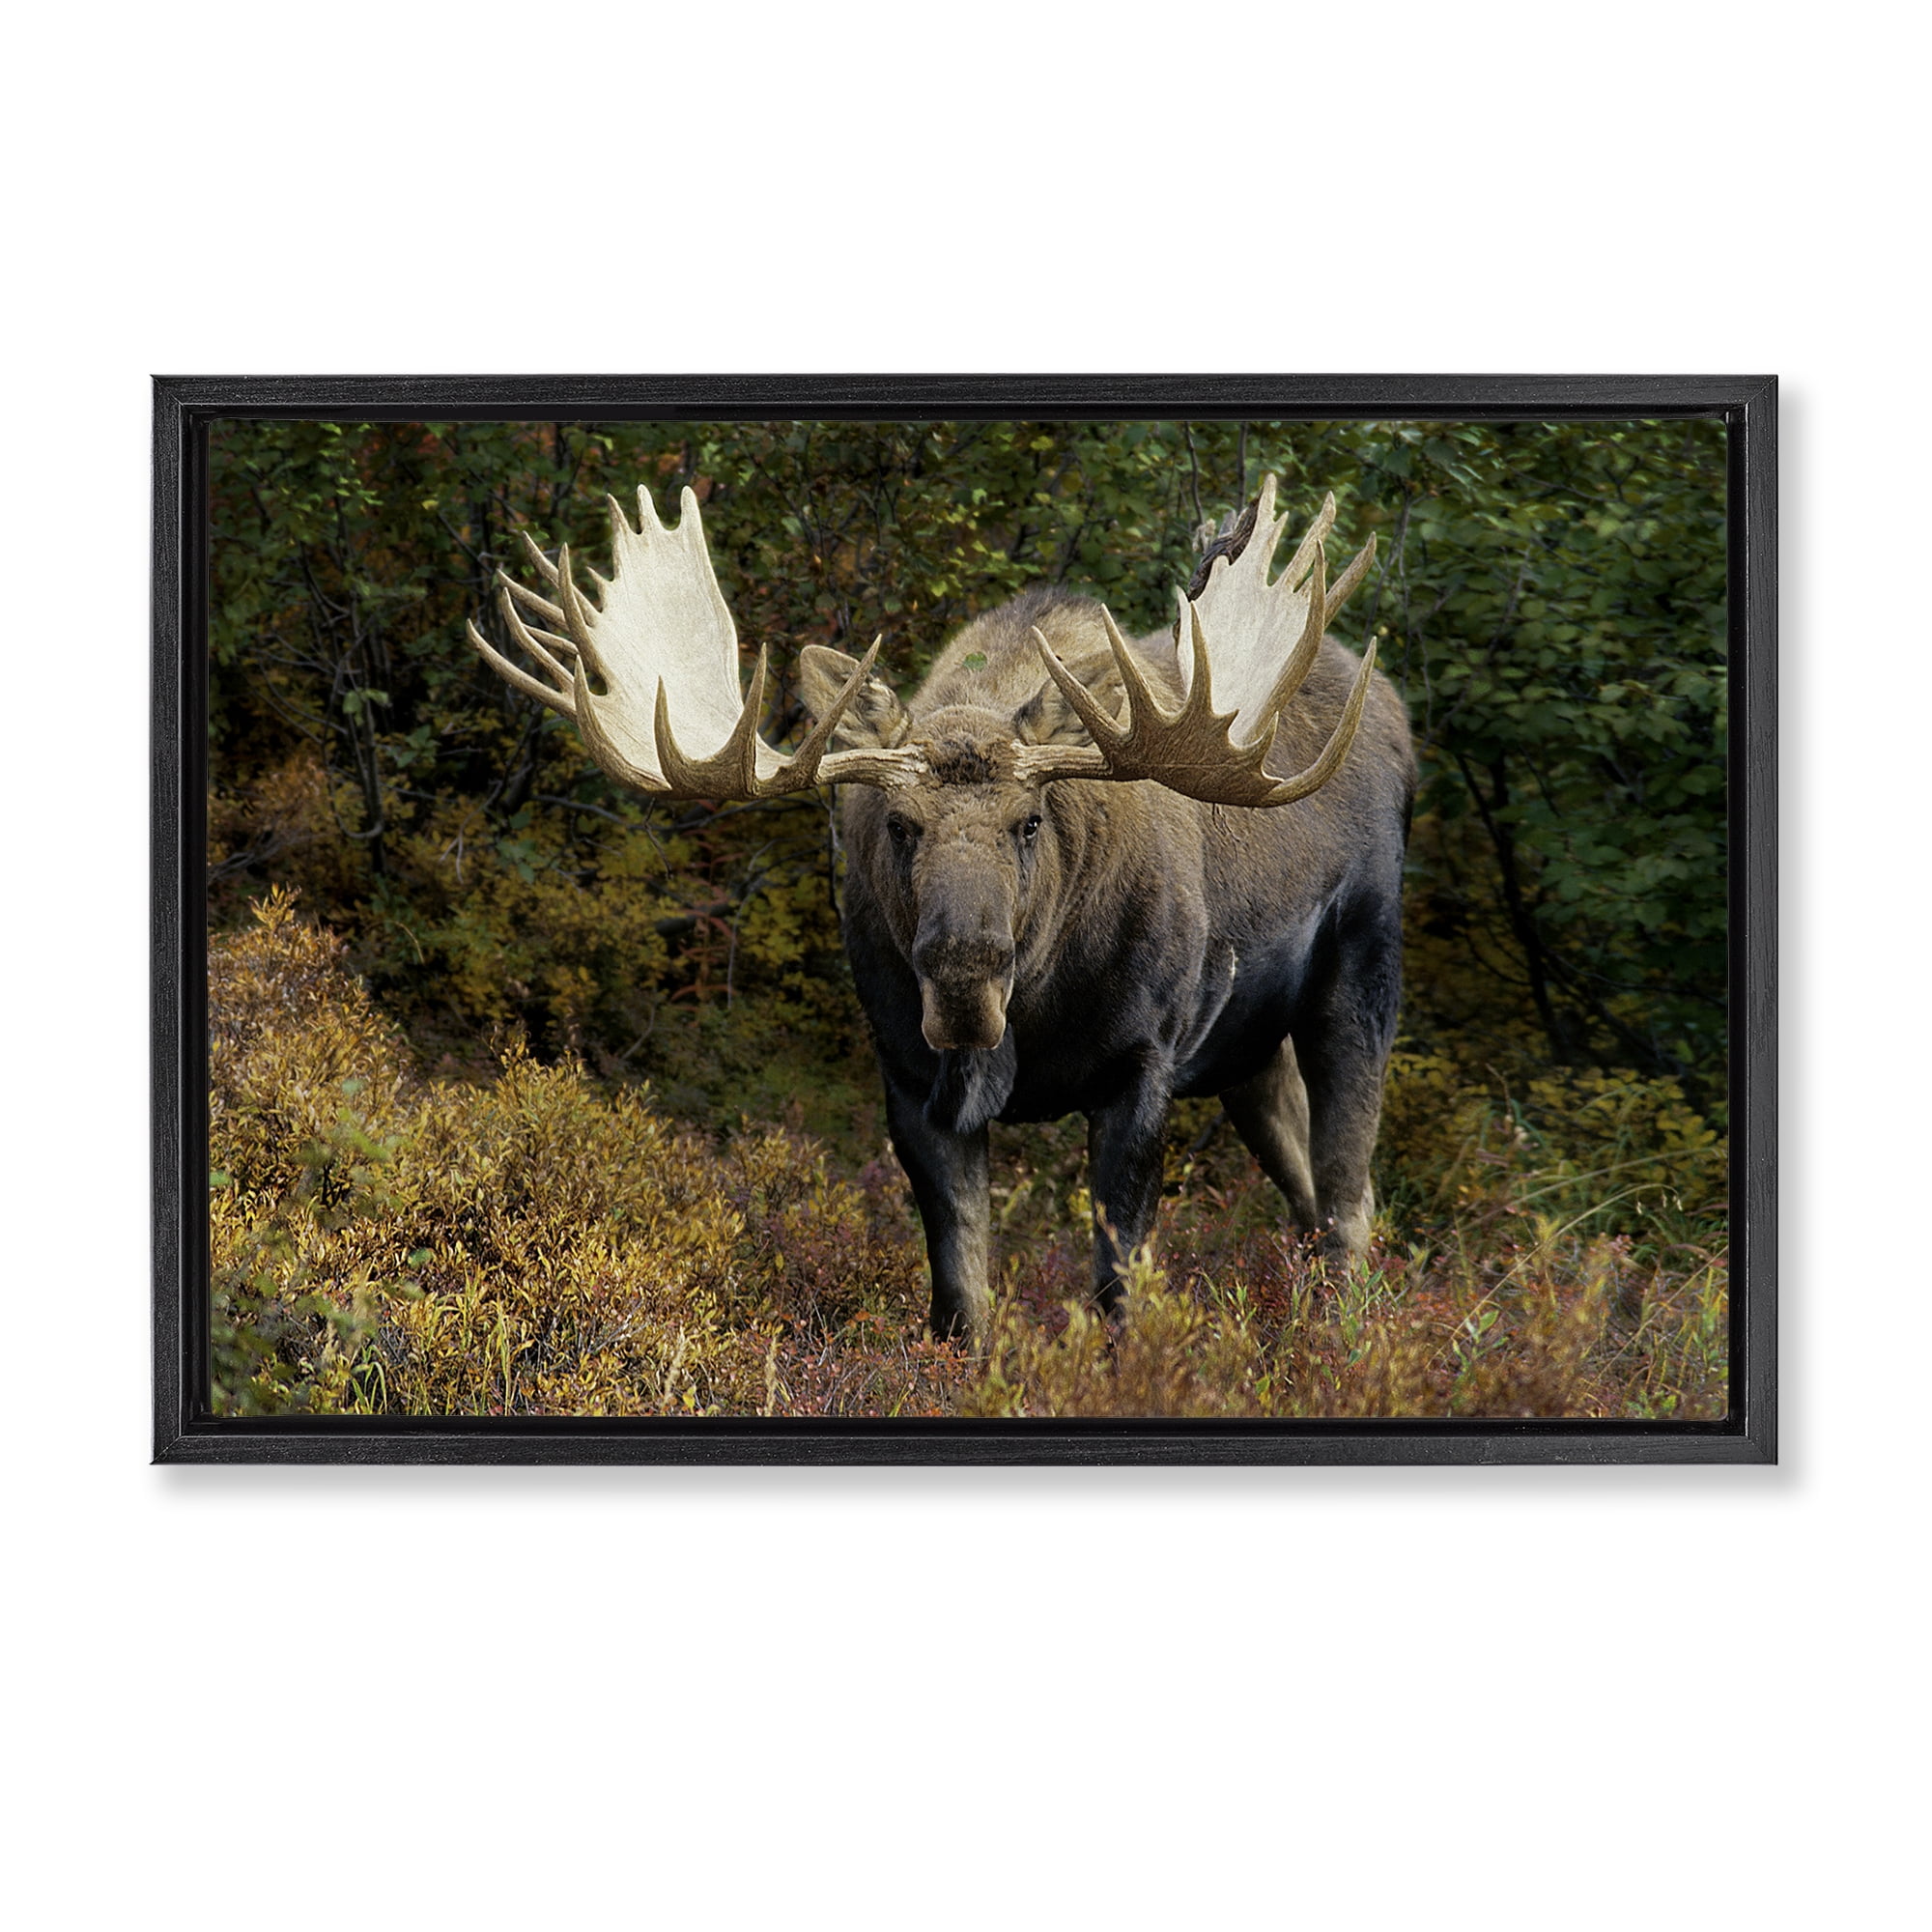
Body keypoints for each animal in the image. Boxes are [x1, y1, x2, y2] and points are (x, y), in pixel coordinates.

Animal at [470, 473, 1415, 1343]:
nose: (965, 978)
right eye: (899, 823)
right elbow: (961, 1298)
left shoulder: (1142, 1065)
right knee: (1310, 1184)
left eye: (1030, 820)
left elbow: (1119, 1291)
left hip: (1360, 969)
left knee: (1349, 1193)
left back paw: (1346, 1340)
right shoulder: (909, 1079)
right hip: (1245, 1051)